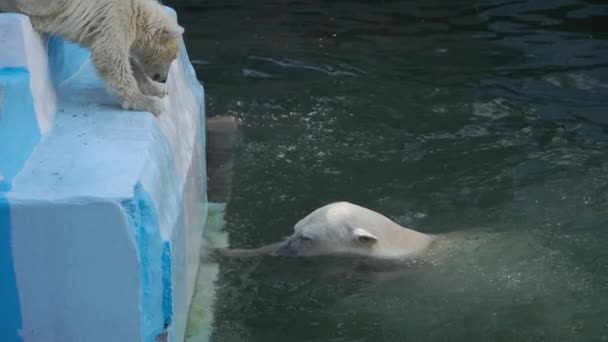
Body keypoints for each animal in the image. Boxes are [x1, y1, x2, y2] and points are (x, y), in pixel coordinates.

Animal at [0, 0, 185, 116]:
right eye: (172, 57)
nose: (163, 79)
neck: (137, 11)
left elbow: (126, 60)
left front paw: (157, 89)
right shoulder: (116, 17)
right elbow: (110, 56)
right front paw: (148, 103)